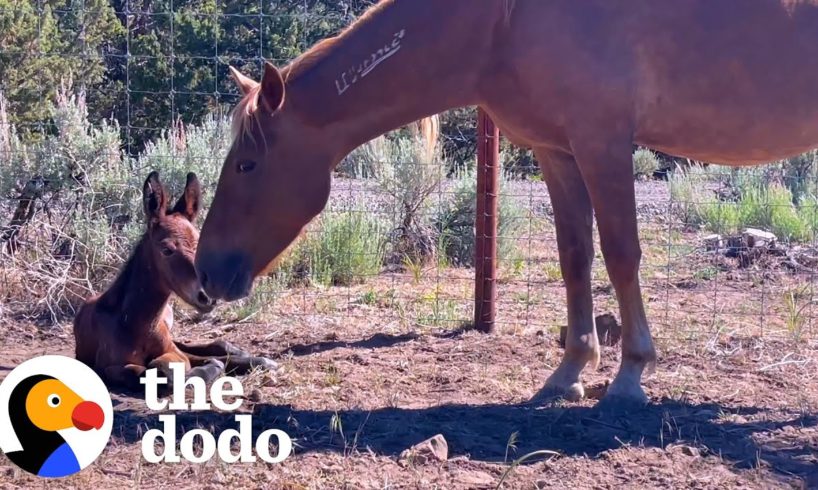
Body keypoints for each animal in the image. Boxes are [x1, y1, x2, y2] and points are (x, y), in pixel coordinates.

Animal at [71, 170, 274, 388]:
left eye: (199, 244)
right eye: (167, 250)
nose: (208, 296)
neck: (136, 325)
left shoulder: (171, 348)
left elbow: (180, 360)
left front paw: (253, 361)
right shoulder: (109, 367)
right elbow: (161, 371)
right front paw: (211, 368)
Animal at [193, 0, 818, 406]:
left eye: (246, 165)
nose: (206, 272)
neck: (502, 23)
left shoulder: (603, 143)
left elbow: (621, 255)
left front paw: (630, 376)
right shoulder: (557, 150)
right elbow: (574, 258)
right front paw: (570, 373)